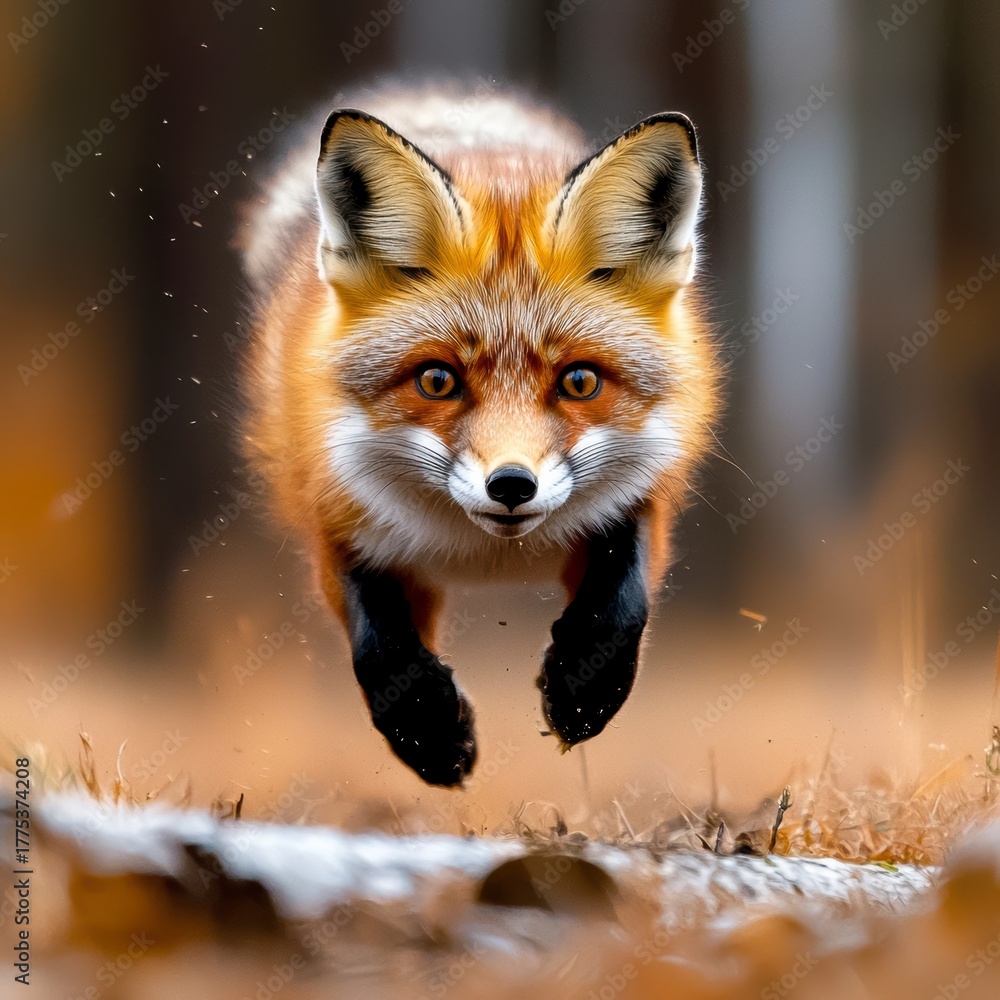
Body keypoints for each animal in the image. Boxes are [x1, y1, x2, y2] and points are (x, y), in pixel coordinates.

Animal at [240, 85, 722, 787]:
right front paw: (428, 730)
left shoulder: (644, 486)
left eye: (580, 381)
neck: (486, 557)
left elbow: (622, 600)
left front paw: (584, 690)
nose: (512, 485)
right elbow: (378, 642)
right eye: (437, 380)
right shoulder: (330, 505)